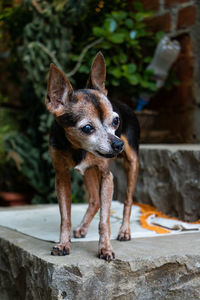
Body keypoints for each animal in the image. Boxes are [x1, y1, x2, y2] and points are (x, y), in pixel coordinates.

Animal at [45, 51, 139, 260]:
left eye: (116, 121)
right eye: (87, 128)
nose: (118, 144)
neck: (78, 149)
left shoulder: (106, 176)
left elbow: (105, 220)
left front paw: (105, 248)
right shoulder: (61, 176)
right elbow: (65, 217)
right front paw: (63, 244)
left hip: (131, 162)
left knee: (128, 199)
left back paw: (124, 231)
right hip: (87, 171)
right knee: (95, 200)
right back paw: (82, 227)